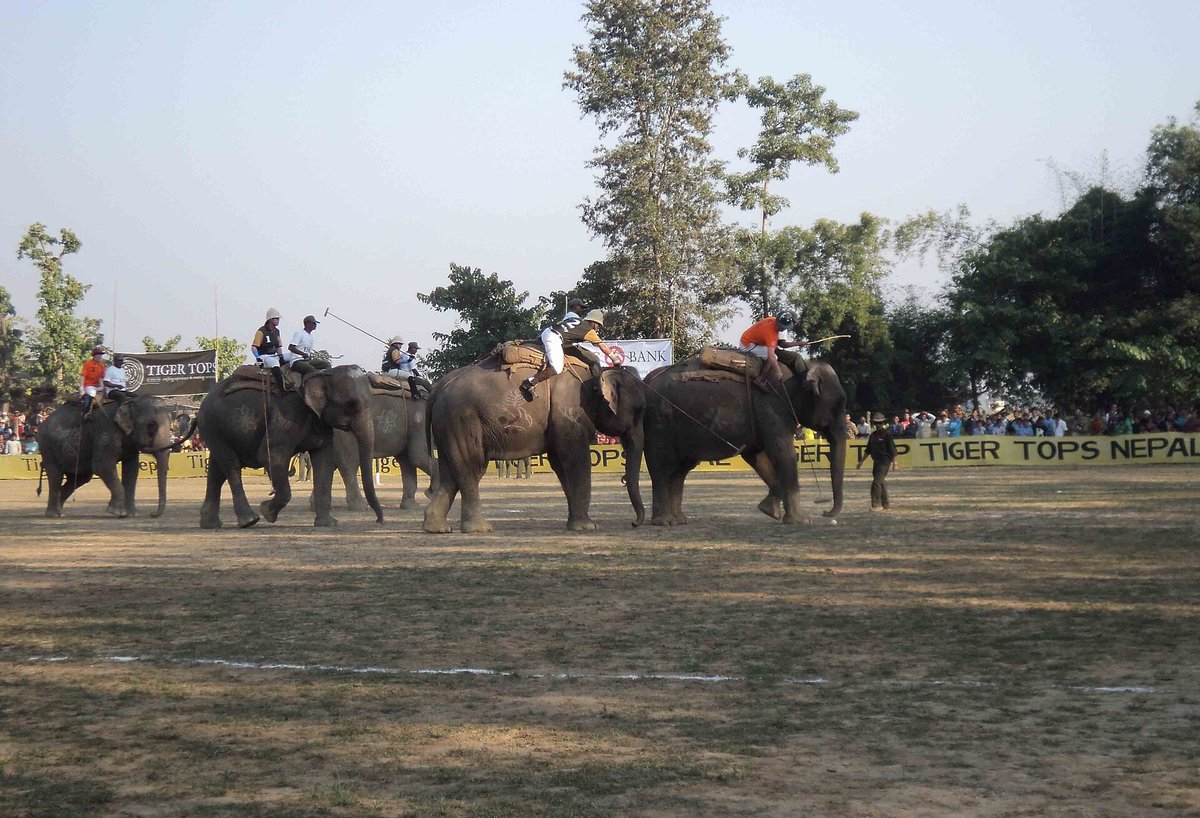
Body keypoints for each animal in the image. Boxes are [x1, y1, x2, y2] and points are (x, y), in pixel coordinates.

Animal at [36, 395, 184, 518]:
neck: (129, 402)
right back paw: (54, 514)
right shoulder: (106, 431)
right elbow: (102, 466)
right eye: (151, 425)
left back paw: (60, 512)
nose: (152, 514)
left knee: (80, 478)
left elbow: (132, 469)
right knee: (55, 475)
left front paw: (132, 514)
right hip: (47, 447)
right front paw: (117, 512)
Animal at [197, 364, 383, 529]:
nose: (379, 521)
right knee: (231, 466)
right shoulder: (286, 416)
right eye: (351, 405)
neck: (322, 374)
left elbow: (324, 461)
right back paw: (249, 521)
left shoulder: (319, 421)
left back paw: (210, 524)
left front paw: (328, 524)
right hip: (212, 426)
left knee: (216, 470)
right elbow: (270, 455)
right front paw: (267, 512)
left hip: (217, 430)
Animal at [423, 360, 646, 533]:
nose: (634, 523)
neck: (594, 374)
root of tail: (438, 388)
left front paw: (576, 524)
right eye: (639, 410)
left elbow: (560, 463)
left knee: (450, 470)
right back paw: (479, 529)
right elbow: (575, 459)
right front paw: (588, 527)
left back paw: (437, 528)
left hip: (447, 425)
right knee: (471, 468)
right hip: (463, 420)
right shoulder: (568, 413)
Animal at [642, 351, 847, 525]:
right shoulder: (771, 408)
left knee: (681, 470)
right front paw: (802, 520)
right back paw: (664, 521)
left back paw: (679, 520)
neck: (801, 370)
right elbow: (783, 452)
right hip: (659, 424)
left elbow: (757, 457)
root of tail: (647, 381)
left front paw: (769, 510)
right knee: (660, 466)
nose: (825, 512)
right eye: (837, 405)